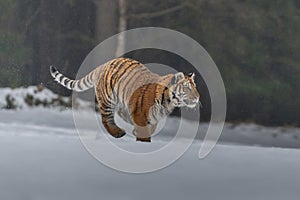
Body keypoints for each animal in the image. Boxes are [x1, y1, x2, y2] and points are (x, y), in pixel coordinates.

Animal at [49, 57, 202, 142]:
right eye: (187, 88)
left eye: (195, 87)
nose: (198, 97)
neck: (168, 101)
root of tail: (104, 64)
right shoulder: (141, 114)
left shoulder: (151, 117)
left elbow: (150, 127)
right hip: (107, 100)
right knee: (106, 119)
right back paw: (118, 133)